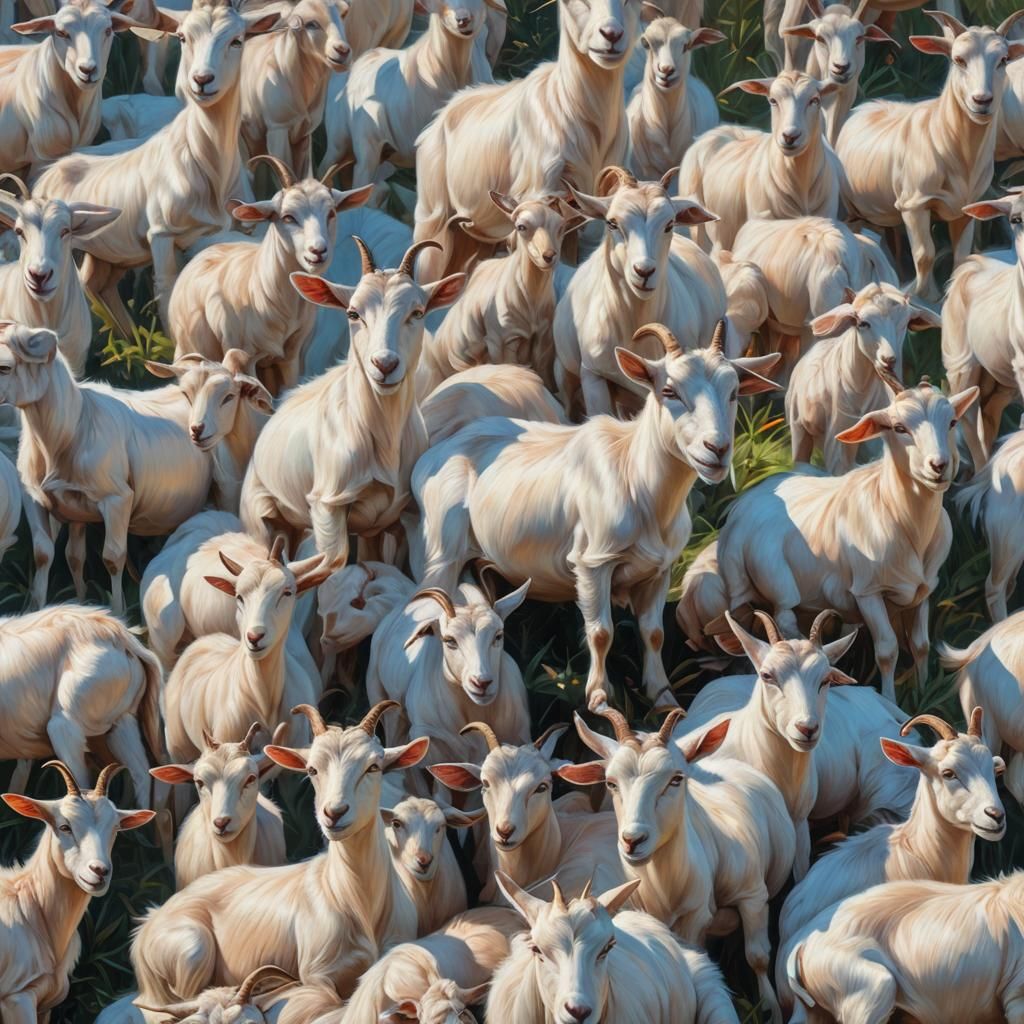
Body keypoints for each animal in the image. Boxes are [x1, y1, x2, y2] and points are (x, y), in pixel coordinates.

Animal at [412, 320, 780, 711]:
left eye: (734, 391)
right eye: (668, 390)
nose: (718, 450)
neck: (635, 477)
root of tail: (435, 454)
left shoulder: (659, 571)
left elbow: (654, 632)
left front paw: (663, 698)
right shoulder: (592, 564)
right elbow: (601, 631)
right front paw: (599, 698)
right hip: (441, 554)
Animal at [678, 71, 843, 253]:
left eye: (814, 100)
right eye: (773, 100)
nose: (790, 136)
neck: (799, 184)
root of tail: (724, 129)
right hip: (699, 224)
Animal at [836, 10, 1024, 300]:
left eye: (1003, 60)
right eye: (958, 60)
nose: (982, 101)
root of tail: (866, 105)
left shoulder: (965, 209)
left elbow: (961, 256)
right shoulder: (915, 204)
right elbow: (925, 255)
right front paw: (924, 296)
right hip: (850, 208)